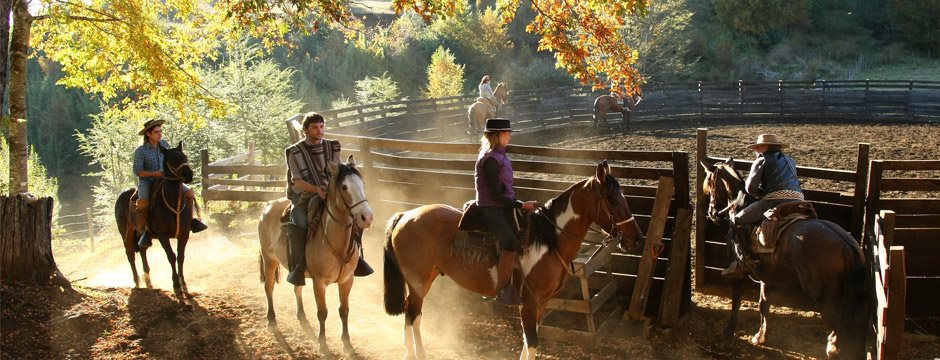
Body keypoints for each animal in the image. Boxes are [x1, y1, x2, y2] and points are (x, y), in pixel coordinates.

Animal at [117, 142, 198, 300]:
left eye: (184, 156)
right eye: (172, 159)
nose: (188, 175)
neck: (173, 203)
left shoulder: (184, 233)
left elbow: (181, 257)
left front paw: (184, 285)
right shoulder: (162, 236)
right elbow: (171, 257)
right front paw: (176, 287)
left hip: (140, 234)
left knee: (142, 250)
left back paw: (148, 281)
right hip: (126, 234)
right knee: (130, 254)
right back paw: (137, 283)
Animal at [258, 155, 376, 352]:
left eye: (362, 183)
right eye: (344, 187)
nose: (367, 217)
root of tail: (268, 206)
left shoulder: (347, 280)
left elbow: (344, 310)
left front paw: (347, 343)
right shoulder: (319, 282)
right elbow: (322, 312)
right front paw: (322, 344)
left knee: (297, 287)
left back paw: (302, 317)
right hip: (269, 259)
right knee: (269, 287)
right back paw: (271, 320)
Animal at [386, 162, 644, 360]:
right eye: (612, 198)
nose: (637, 238)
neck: (548, 240)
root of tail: (404, 215)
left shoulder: (542, 303)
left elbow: (529, 341)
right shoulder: (528, 302)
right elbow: (532, 342)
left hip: (425, 278)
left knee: (411, 313)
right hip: (418, 281)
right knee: (413, 314)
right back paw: (417, 353)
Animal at [700, 160, 872, 360]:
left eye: (710, 183)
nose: (712, 213)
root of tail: (846, 244)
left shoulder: (740, 274)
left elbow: (737, 300)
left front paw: (729, 331)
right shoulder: (767, 276)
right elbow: (764, 304)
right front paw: (761, 336)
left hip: (826, 299)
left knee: (842, 327)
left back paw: (832, 348)